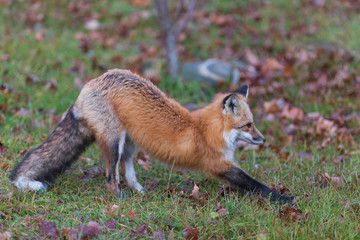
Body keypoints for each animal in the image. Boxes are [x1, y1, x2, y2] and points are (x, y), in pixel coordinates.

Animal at [9, 69, 294, 202]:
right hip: (114, 142)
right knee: (110, 176)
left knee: (127, 172)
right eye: (248, 125)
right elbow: (257, 185)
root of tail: (90, 84)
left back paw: (139, 191)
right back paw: (120, 199)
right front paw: (283, 199)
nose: (263, 140)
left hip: (130, 144)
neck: (207, 130)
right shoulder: (220, 165)